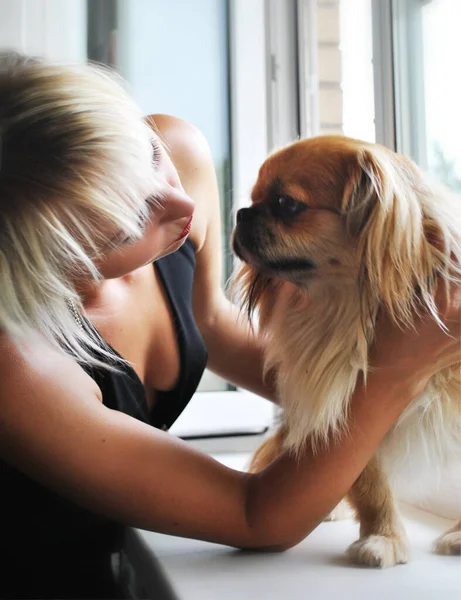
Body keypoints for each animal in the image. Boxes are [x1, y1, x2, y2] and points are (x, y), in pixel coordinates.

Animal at [232, 135, 460, 568]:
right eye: (253, 198)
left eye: (286, 204)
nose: (240, 213)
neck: (350, 309)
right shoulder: (348, 408)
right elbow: (371, 486)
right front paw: (383, 538)